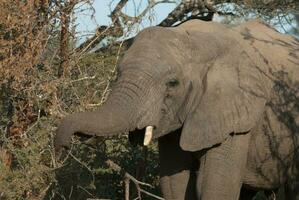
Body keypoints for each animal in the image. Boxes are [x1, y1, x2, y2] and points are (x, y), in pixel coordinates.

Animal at [55, 20, 299, 200]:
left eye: (172, 84)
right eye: (118, 74)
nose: (63, 145)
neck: (196, 38)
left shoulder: (235, 116)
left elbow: (214, 186)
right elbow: (175, 184)